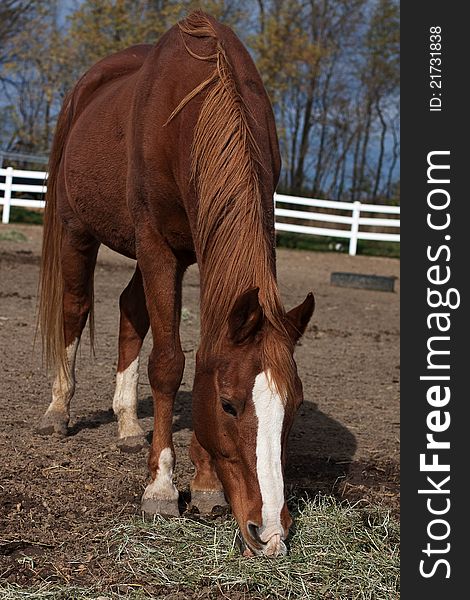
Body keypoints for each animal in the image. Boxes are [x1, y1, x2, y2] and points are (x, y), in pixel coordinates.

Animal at [37, 10, 316, 556]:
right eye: (228, 405)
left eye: (293, 406)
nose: (270, 532)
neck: (193, 109)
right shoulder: (157, 245)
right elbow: (168, 365)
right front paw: (162, 488)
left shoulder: (200, 250)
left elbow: (200, 352)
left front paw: (205, 485)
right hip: (78, 231)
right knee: (75, 309)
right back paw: (58, 410)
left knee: (130, 310)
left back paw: (127, 423)